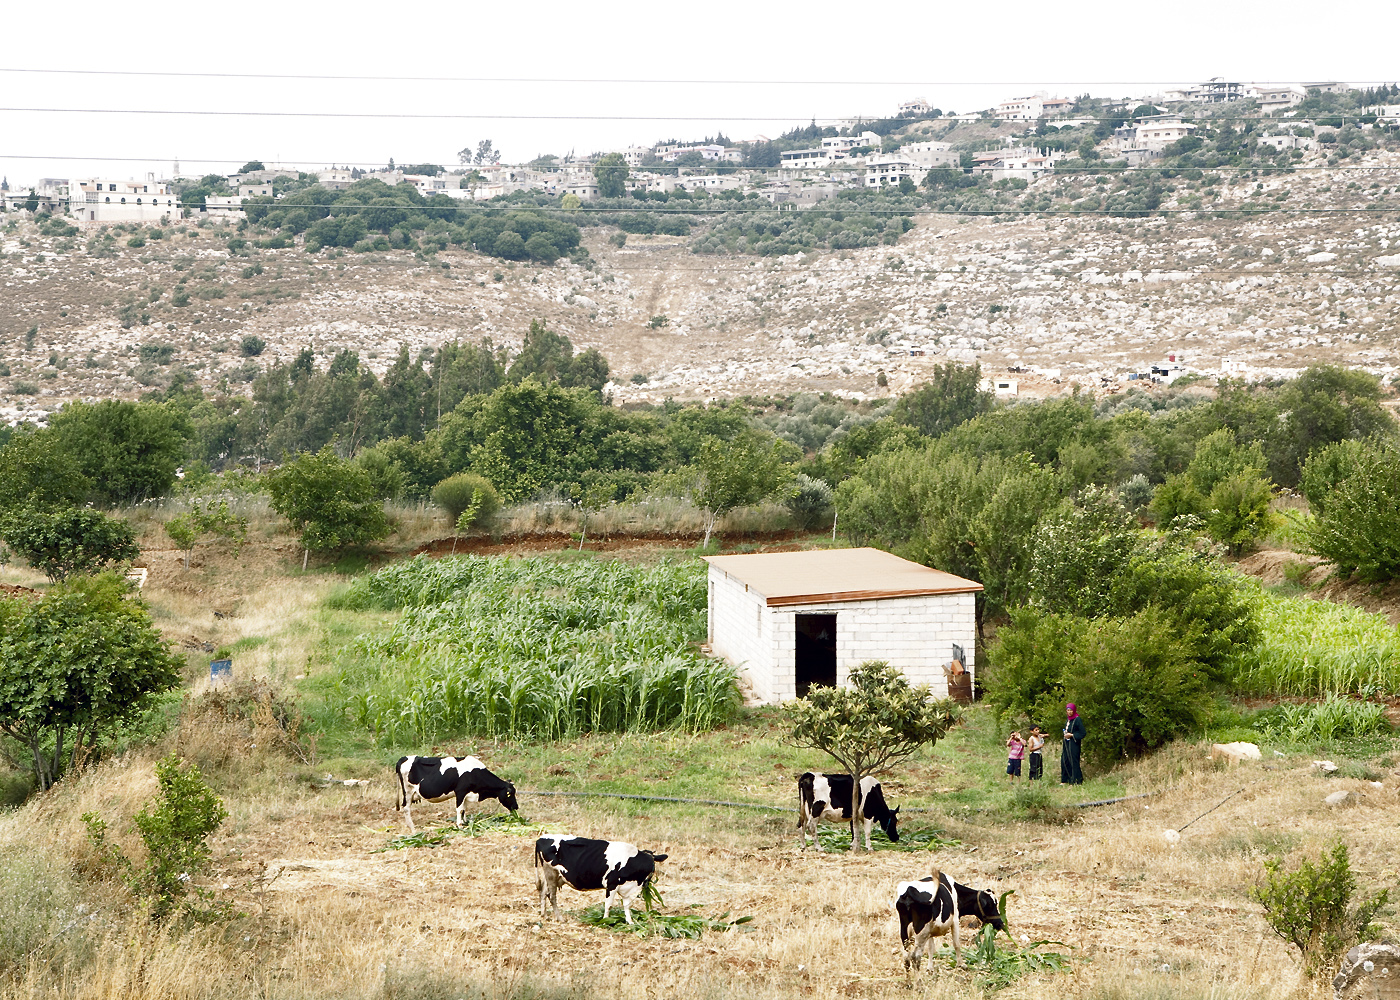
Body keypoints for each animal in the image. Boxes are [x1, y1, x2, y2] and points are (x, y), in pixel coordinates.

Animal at [532, 829, 669, 924]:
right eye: (651, 869)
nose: (647, 884)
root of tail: (541, 838)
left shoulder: (626, 888)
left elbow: (627, 905)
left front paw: (630, 922)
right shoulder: (611, 885)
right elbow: (608, 904)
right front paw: (605, 920)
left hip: (553, 875)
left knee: (543, 892)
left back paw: (544, 914)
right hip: (551, 872)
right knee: (552, 896)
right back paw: (560, 918)